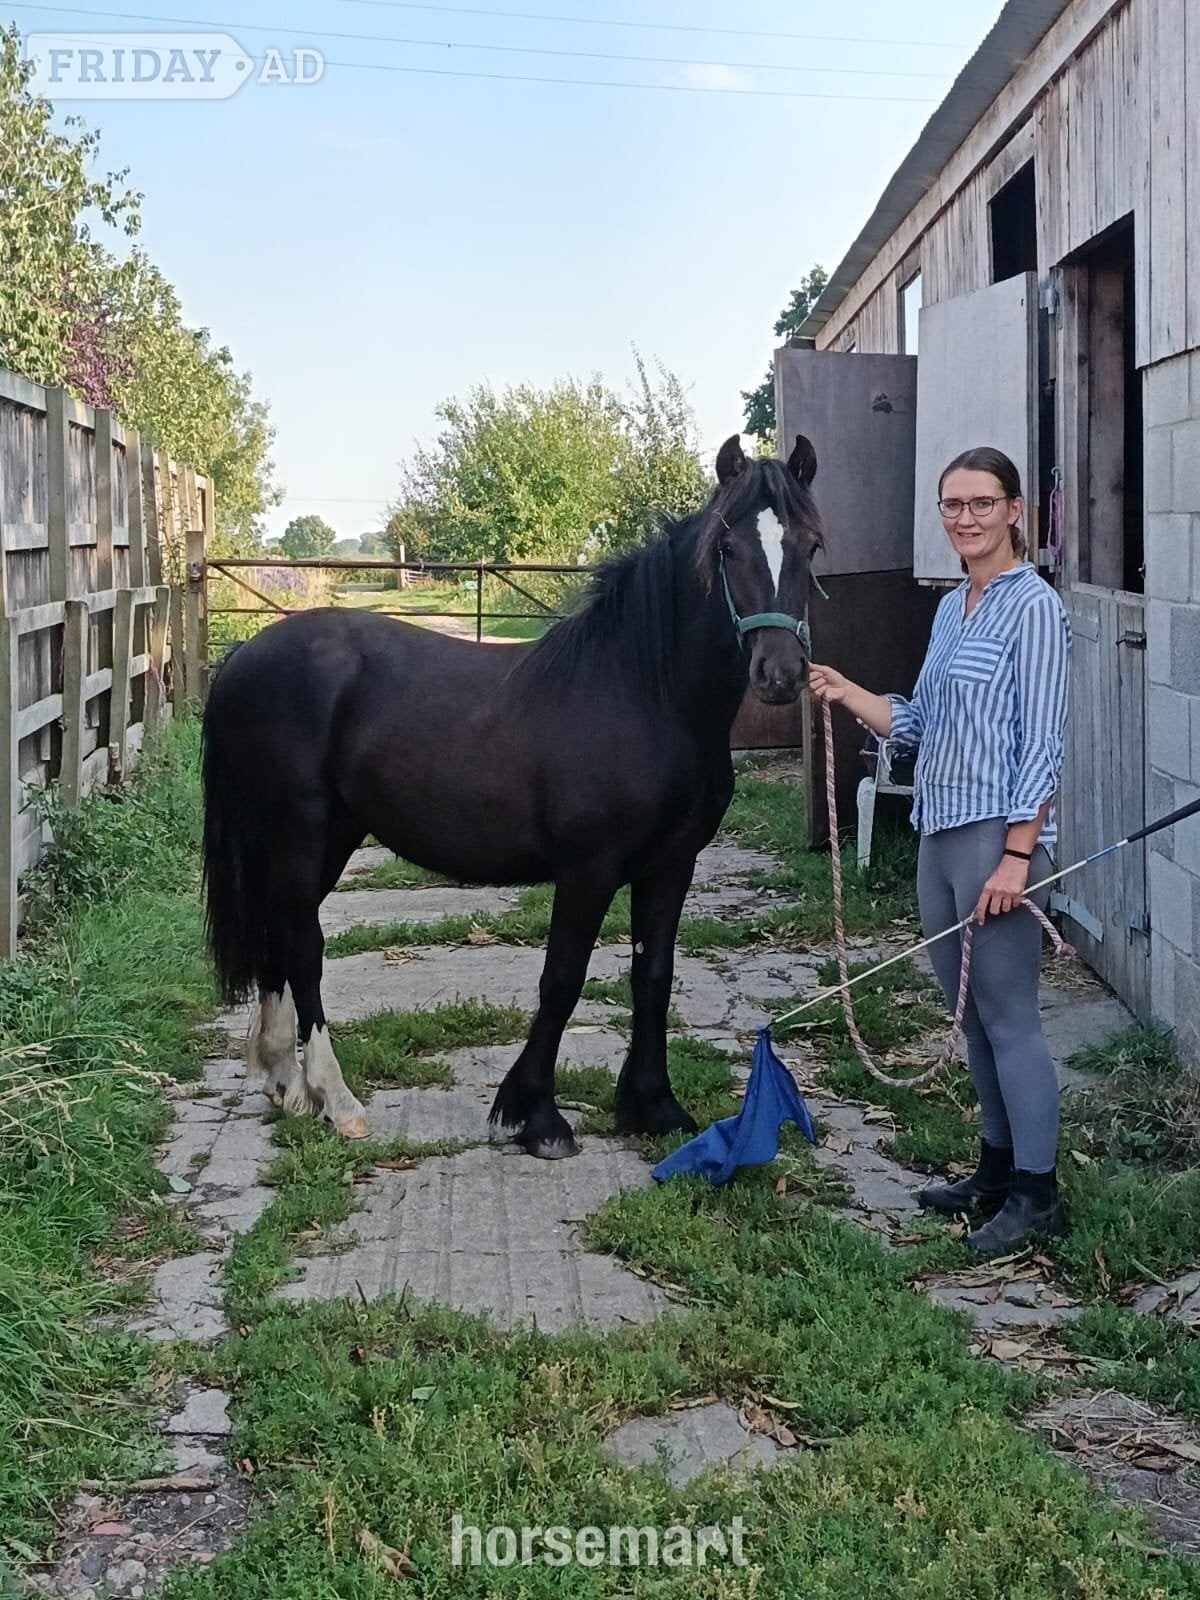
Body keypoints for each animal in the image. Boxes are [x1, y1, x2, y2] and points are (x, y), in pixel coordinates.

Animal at [200, 432, 824, 1159]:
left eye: (811, 544)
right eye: (727, 548)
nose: (780, 674)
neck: (645, 694)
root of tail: (240, 658)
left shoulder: (672, 866)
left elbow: (653, 976)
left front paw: (652, 1106)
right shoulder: (588, 870)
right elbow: (562, 980)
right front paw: (537, 1116)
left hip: (323, 838)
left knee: (278, 932)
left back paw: (284, 1082)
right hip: (299, 832)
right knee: (303, 945)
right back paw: (338, 1099)